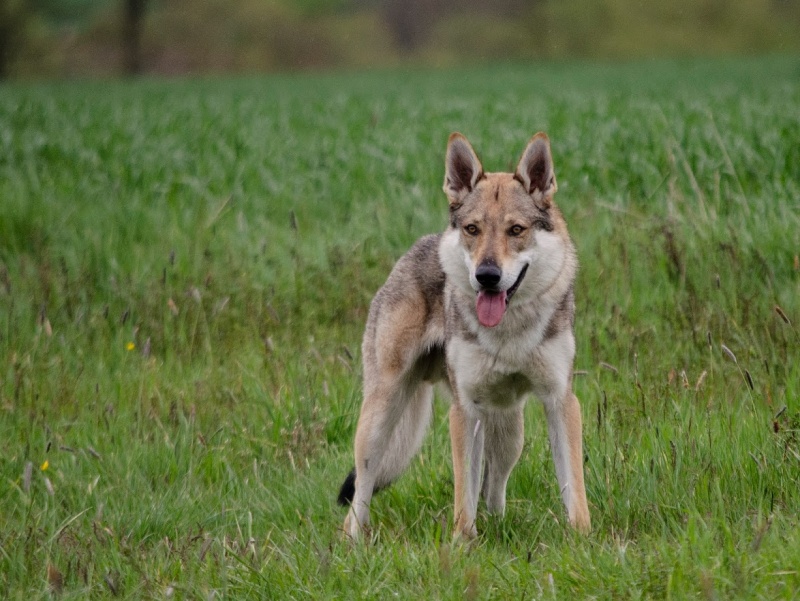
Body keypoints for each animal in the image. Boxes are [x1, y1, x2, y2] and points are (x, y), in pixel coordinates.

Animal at [334, 132, 592, 540]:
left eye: (516, 230)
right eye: (473, 229)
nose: (486, 276)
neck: (507, 332)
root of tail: (416, 247)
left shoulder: (560, 400)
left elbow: (573, 488)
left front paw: (582, 539)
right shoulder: (464, 410)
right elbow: (462, 495)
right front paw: (461, 544)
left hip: (509, 431)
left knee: (493, 490)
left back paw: (500, 527)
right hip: (379, 418)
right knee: (361, 490)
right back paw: (353, 542)